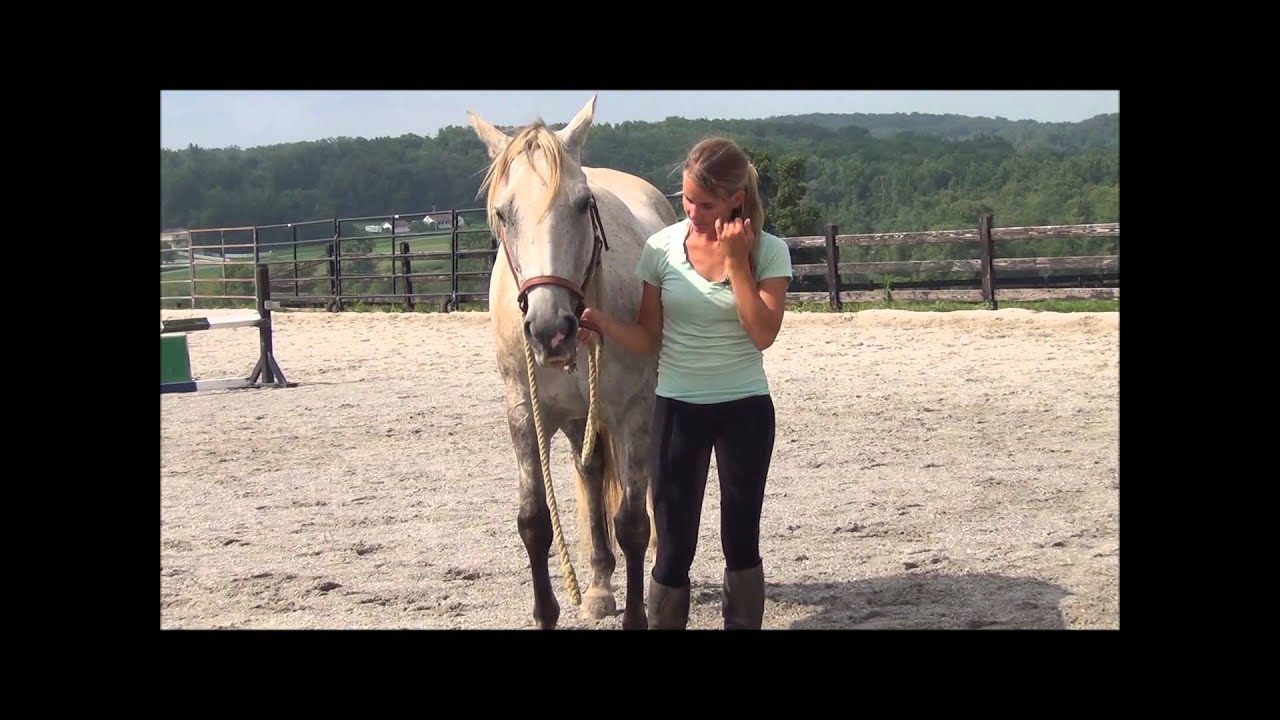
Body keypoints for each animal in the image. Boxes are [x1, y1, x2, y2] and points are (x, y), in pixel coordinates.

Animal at [467, 95, 678, 629]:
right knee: (591, 474)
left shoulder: (633, 413)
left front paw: (637, 615)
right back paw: (599, 587)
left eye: (583, 205)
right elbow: (534, 522)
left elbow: (632, 522)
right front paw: (547, 612)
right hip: (579, 418)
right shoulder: (525, 413)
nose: (550, 329)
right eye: (503, 213)